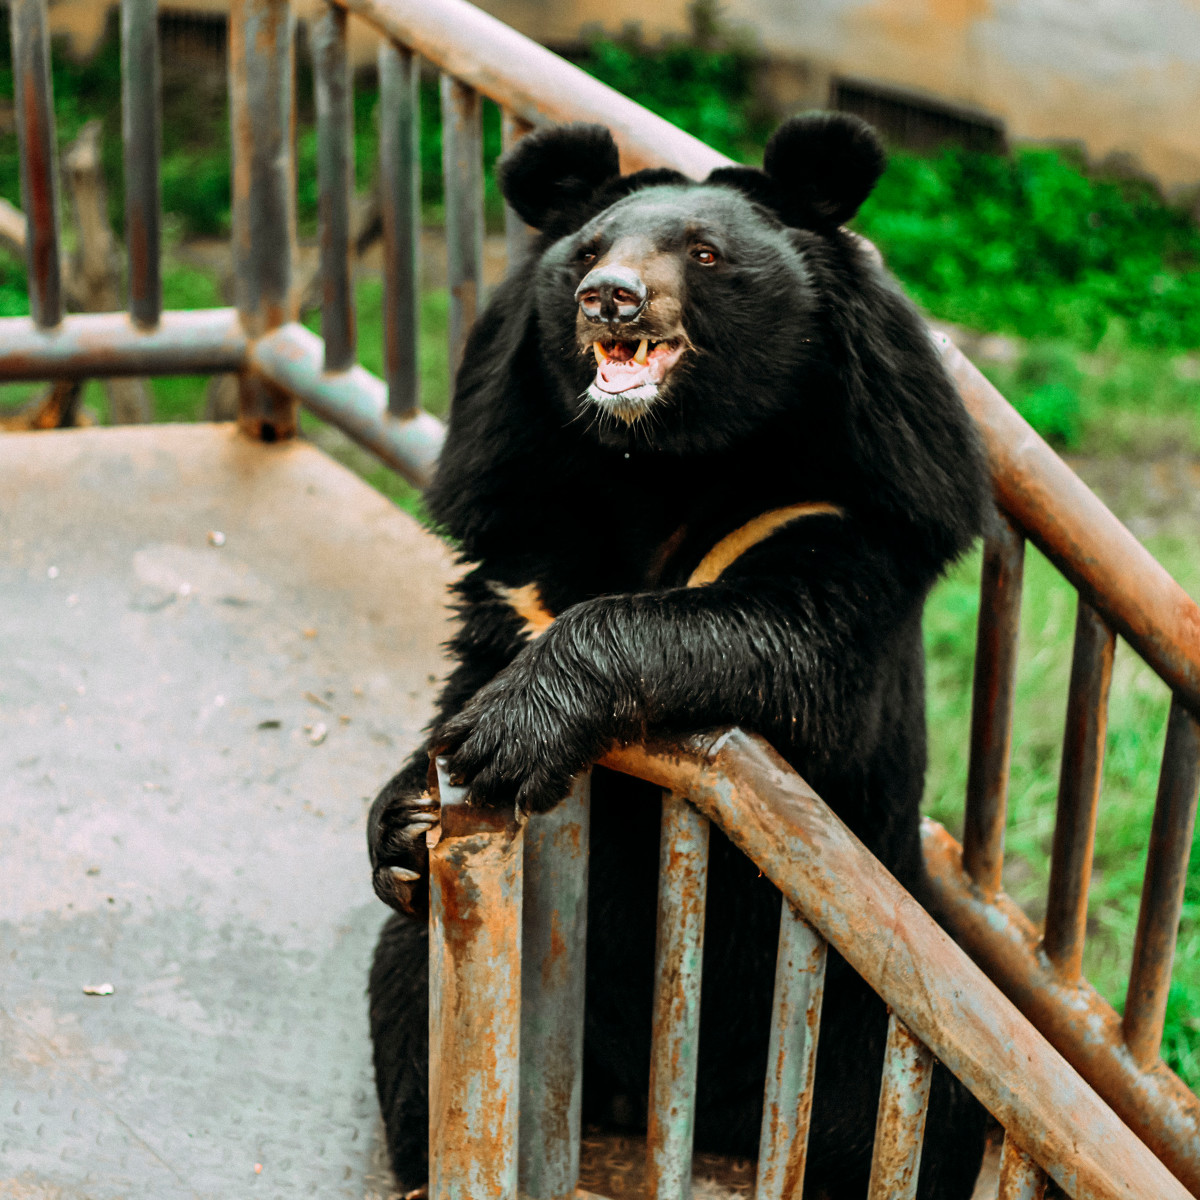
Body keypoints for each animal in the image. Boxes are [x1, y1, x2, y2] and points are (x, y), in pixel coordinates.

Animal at [369, 114, 988, 1200]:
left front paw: (509, 736)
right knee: (410, 986)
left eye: (703, 255)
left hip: (869, 1009)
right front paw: (406, 807)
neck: (656, 466)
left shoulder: (848, 509)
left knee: (919, 1113)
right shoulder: (525, 536)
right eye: (586, 251)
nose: (610, 298)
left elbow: (770, 641)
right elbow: (474, 661)